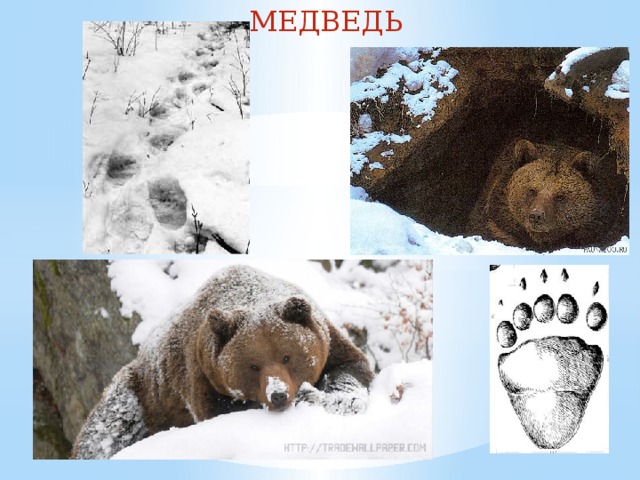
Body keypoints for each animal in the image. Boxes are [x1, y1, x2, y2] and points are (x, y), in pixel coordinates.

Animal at [72, 265, 374, 459]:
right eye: (253, 365)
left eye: (287, 356)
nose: (277, 394)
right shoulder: (202, 373)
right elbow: (221, 410)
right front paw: (308, 396)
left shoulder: (328, 340)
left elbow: (351, 367)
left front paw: (342, 399)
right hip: (141, 396)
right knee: (107, 431)